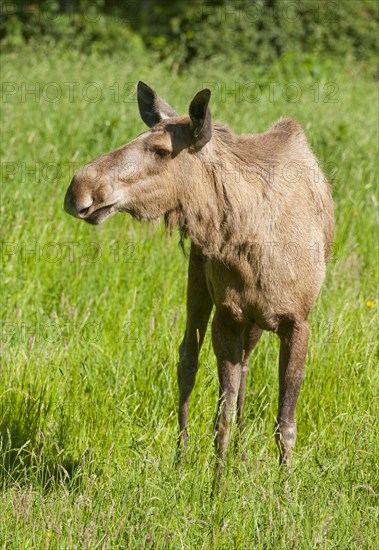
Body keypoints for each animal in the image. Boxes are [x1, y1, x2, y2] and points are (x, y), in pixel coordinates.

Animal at [65, 82, 336, 470]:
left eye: (162, 150)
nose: (78, 191)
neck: (254, 246)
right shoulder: (228, 314)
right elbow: (221, 416)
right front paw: (216, 482)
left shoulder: (297, 321)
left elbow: (285, 424)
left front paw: (284, 483)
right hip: (198, 284)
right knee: (187, 359)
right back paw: (181, 458)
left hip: (251, 320)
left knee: (245, 368)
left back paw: (240, 451)